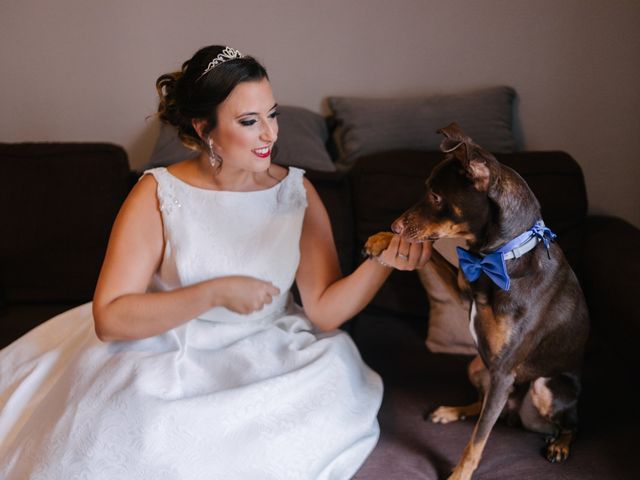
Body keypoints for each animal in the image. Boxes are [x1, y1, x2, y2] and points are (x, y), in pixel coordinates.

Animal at [364, 124, 592, 480]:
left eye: (436, 196)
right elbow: (427, 251)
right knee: (482, 407)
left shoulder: (503, 372)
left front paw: (459, 475)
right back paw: (452, 411)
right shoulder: (463, 290)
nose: (394, 225)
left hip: (545, 386)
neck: (498, 258)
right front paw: (382, 241)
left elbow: (477, 441)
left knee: (569, 425)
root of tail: (515, 414)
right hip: (477, 365)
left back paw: (560, 445)